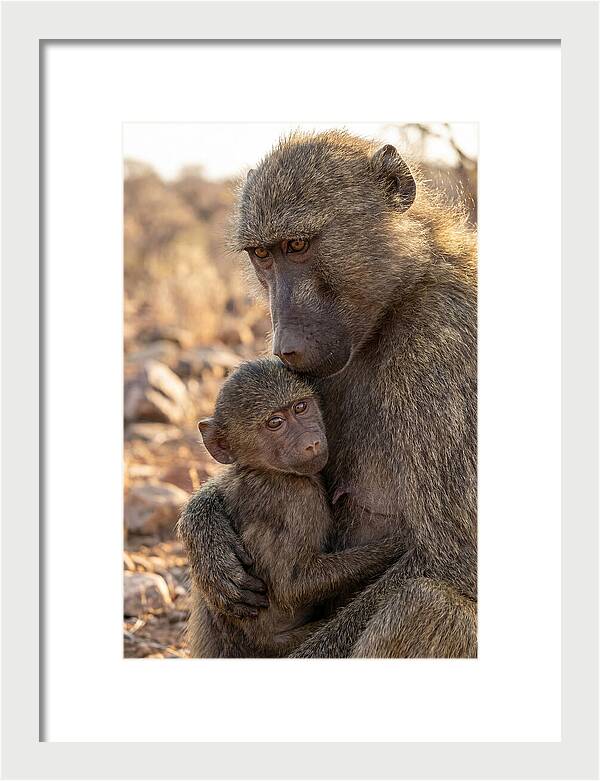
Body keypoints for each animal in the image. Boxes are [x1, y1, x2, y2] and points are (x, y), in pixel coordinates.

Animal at [180, 357, 406, 657]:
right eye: (275, 423)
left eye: (301, 407)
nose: (312, 443)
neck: (264, 470)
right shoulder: (298, 499)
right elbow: (293, 586)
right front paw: (399, 545)